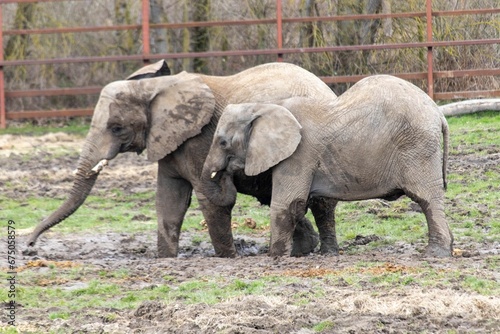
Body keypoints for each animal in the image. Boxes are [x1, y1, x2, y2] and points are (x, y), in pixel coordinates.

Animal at [28, 60, 340, 258]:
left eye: (116, 128)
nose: (29, 246)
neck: (156, 88)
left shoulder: (198, 139)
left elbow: (211, 199)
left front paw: (228, 258)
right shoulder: (170, 141)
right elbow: (170, 200)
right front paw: (166, 259)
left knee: (321, 203)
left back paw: (324, 252)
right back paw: (302, 250)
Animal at [200, 75, 454, 258]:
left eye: (222, 142)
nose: (227, 175)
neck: (265, 107)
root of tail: (438, 113)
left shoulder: (299, 153)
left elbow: (288, 204)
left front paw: (276, 258)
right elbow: (315, 204)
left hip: (418, 148)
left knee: (427, 199)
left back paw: (436, 255)